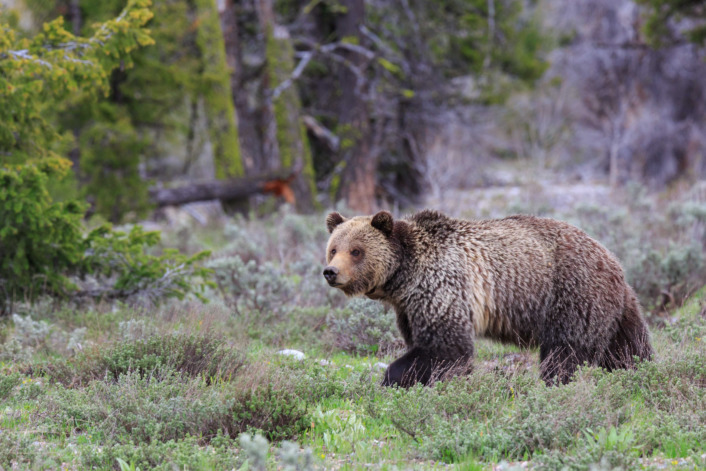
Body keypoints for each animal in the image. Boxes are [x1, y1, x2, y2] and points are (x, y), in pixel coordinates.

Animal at [323, 209, 653, 387]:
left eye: (356, 250)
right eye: (333, 248)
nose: (330, 272)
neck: (405, 275)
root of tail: (611, 259)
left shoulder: (441, 287)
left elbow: (447, 348)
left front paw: (395, 378)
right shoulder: (409, 306)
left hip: (571, 295)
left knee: (565, 353)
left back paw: (553, 384)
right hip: (616, 308)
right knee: (629, 348)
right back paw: (640, 374)